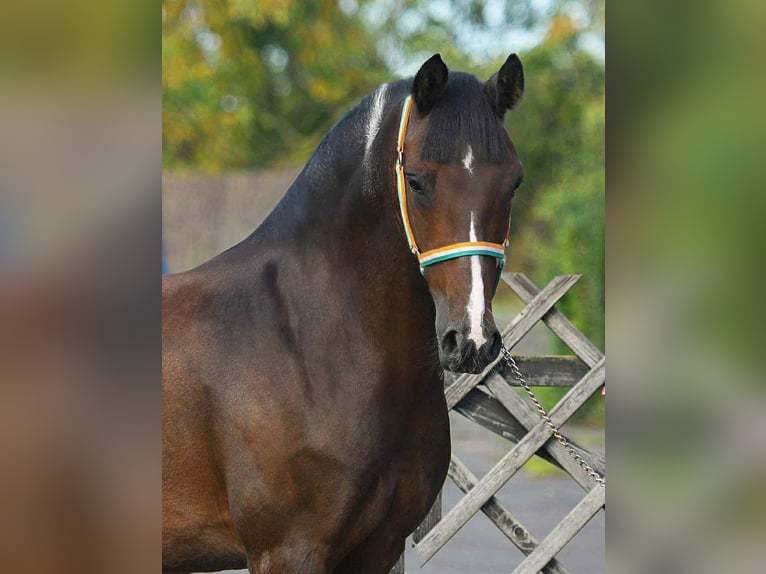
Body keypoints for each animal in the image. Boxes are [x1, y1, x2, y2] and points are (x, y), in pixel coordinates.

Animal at [162, 52, 525, 573]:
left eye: (513, 182)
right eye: (416, 180)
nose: (471, 339)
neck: (308, 346)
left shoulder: (378, 547)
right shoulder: (288, 551)